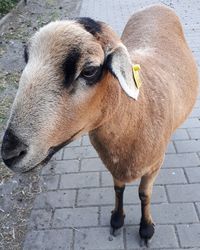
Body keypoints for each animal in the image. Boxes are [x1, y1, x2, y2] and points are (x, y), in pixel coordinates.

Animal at [1, 3, 198, 246]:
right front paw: (117, 220)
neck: (137, 112)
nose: (10, 153)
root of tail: (156, 5)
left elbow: (144, 194)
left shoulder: (153, 166)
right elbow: (118, 189)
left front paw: (146, 229)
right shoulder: (114, 166)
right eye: (26, 59)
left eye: (89, 70)